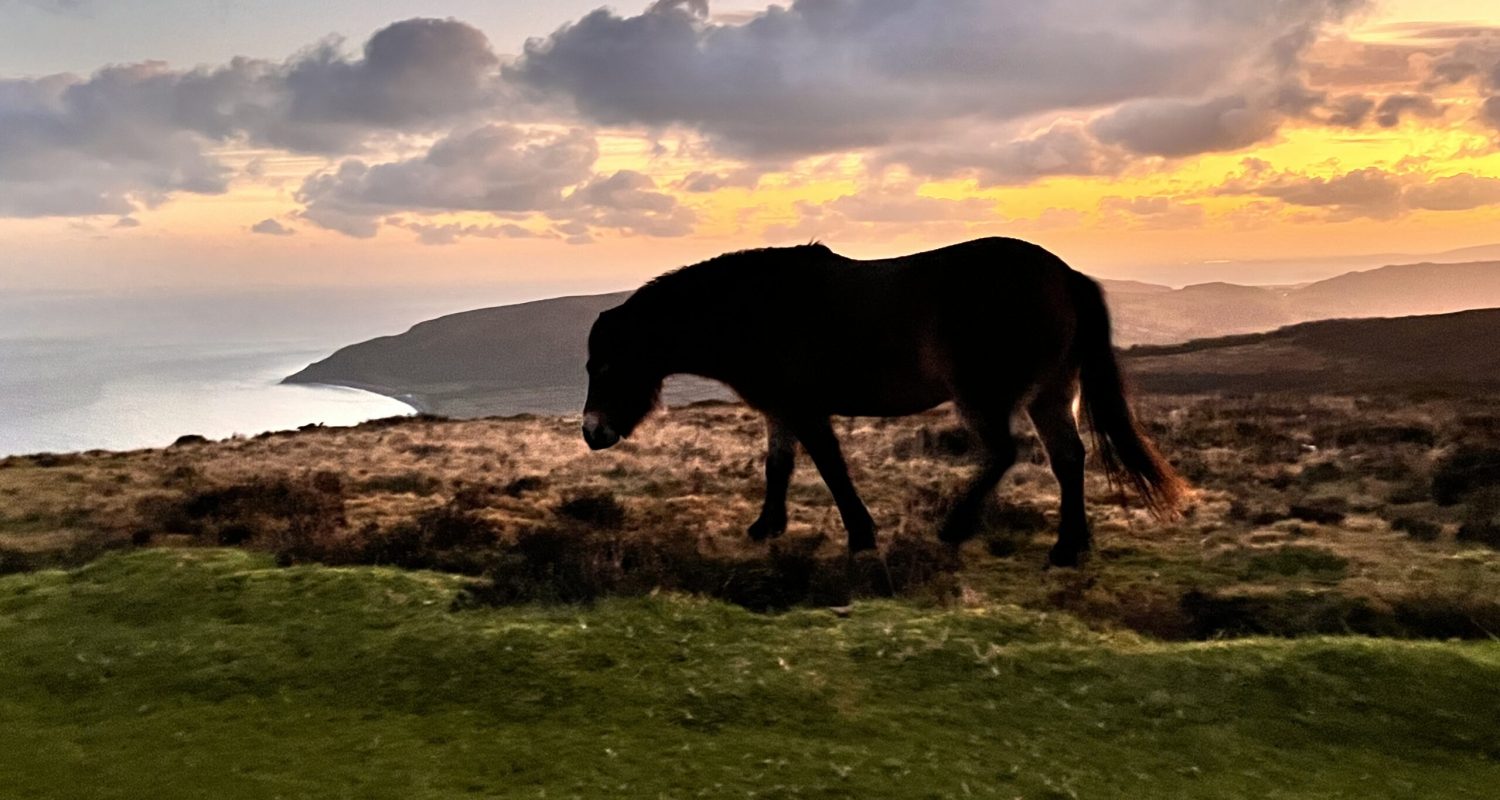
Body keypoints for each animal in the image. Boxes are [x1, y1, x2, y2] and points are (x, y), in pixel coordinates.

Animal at [581, 237, 1184, 567]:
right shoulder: (781, 409)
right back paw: (1068, 548)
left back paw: (956, 528)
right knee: (1068, 458)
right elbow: (778, 465)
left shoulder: (805, 409)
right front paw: (766, 527)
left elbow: (831, 467)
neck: (754, 309)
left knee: (1004, 455)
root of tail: (1064, 275)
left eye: (606, 366)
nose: (592, 431)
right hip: (1051, 394)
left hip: (984, 396)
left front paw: (861, 534)